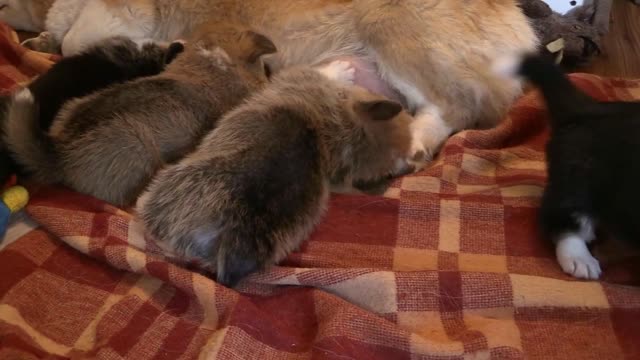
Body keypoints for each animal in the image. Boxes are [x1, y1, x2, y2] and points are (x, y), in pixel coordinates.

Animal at [2, 0, 536, 162]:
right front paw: (41, 37)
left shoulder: (119, 13)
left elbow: (76, 38)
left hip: (395, 31)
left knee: (462, 105)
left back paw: (419, 141)